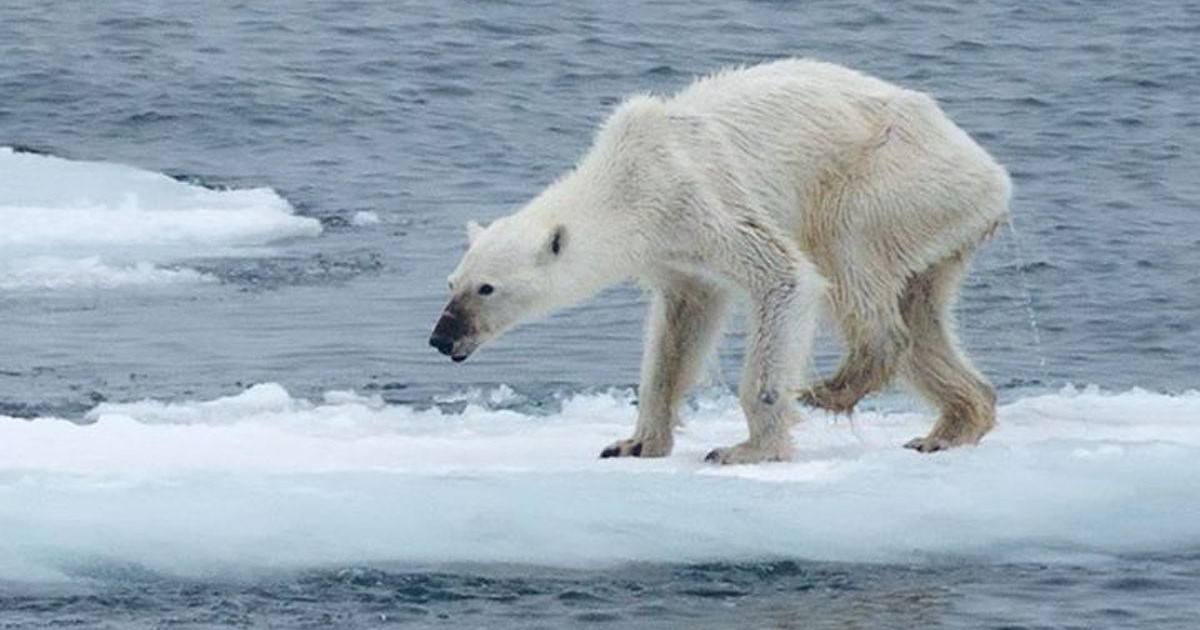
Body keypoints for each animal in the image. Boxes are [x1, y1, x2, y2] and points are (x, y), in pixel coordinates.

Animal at [427, 57, 1008, 460]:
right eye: (452, 282)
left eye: (487, 288)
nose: (441, 338)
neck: (627, 179)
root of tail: (992, 174)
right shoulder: (673, 252)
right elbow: (679, 330)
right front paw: (634, 443)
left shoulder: (699, 198)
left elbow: (785, 277)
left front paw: (746, 449)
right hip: (937, 224)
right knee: (922, 313)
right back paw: (950, 426)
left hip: (893, 179)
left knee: (849, 253)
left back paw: (833, 387)